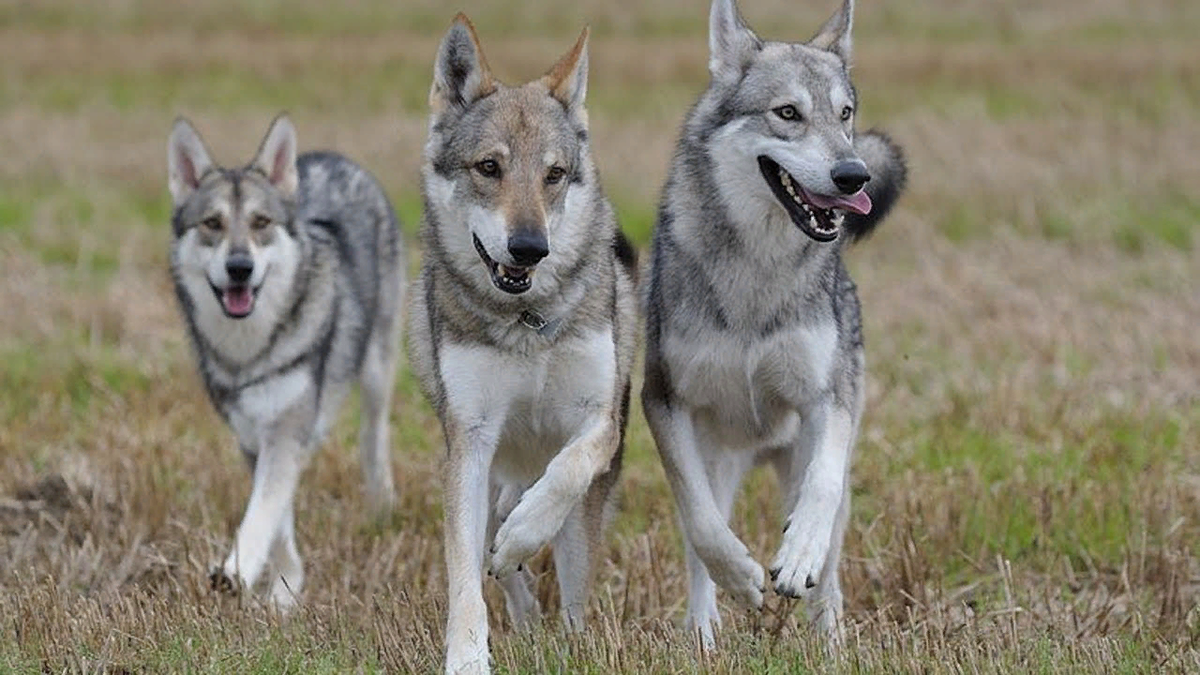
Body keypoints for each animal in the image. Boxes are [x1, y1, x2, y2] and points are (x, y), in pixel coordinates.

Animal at [166, 112, 405, 607]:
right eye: (212, 223)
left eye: (260, 222)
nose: (239, 268)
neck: (250, 350)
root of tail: (334, 156)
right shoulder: (253, 437)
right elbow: (278, 517)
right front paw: (284, 587)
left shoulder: (284, 430)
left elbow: (262, 513)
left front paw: (242, 573)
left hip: (377, 371)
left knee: (374, 438)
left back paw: (382, 508)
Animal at [643, 0, 902, 643]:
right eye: (788, 113)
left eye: (844, 114)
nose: (854, 175)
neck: (756, 268)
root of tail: (758, 452)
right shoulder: (664, 401)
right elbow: (704, 525)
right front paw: (743, 578)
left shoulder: (829, 399)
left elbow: (821, 489)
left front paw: (797, 556)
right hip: (717, 460)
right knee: (700, 541)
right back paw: (704, 636)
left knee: (830, 571)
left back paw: (830, 642)